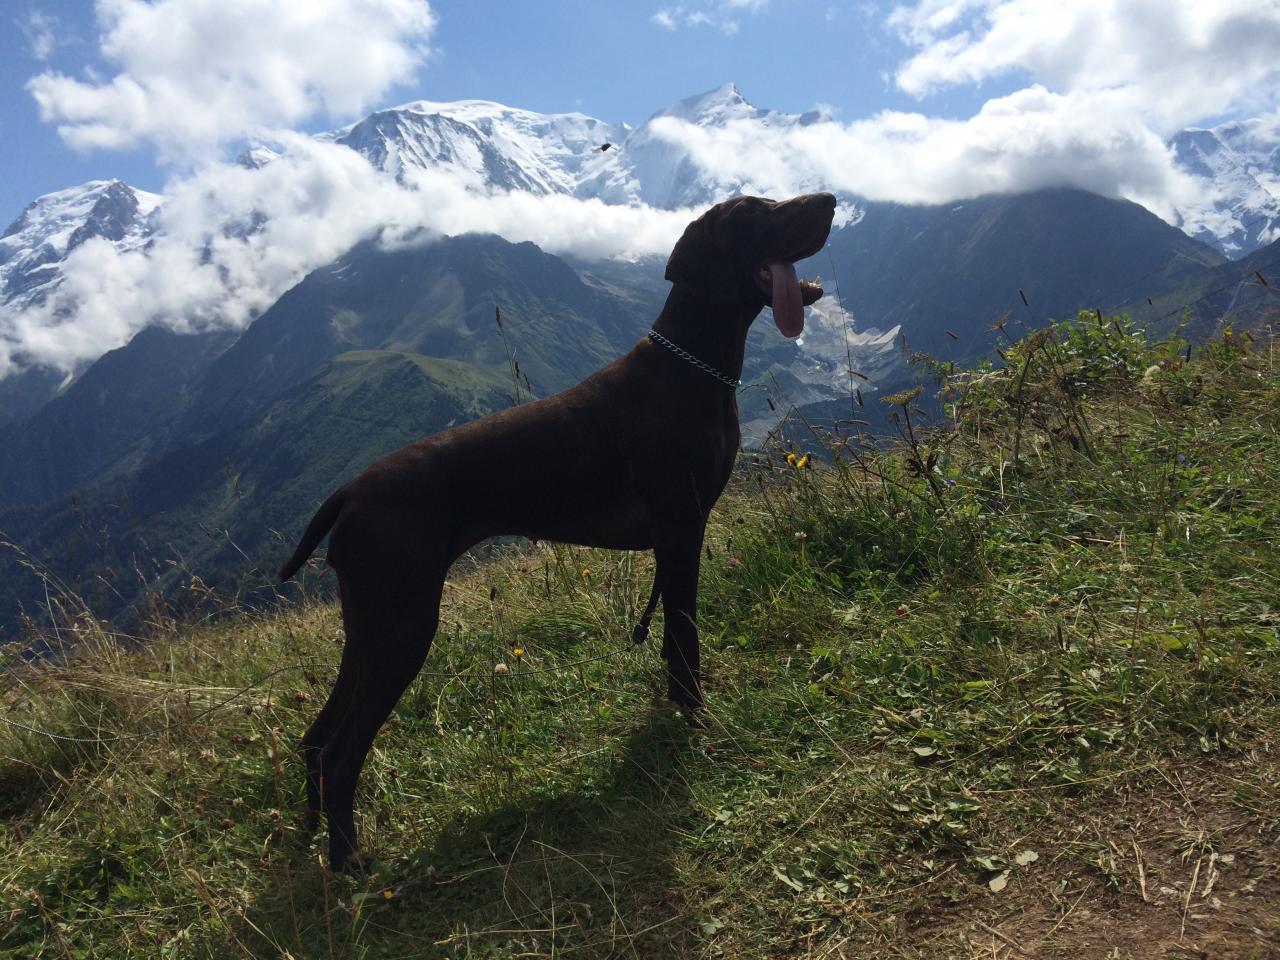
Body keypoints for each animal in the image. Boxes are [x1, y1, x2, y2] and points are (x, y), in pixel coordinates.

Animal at [278, 192, 836, 870]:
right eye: (755, 212)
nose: (831, 200)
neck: (693, 367)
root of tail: (350, 493)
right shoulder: (681, 531)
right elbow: (685, 639)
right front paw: (696, 715)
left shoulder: (674, 540)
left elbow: (673, 642)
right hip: (402, 627)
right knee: (341, 751)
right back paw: (350, 860)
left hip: (369, 628)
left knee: (316, 737)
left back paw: (315, 837)